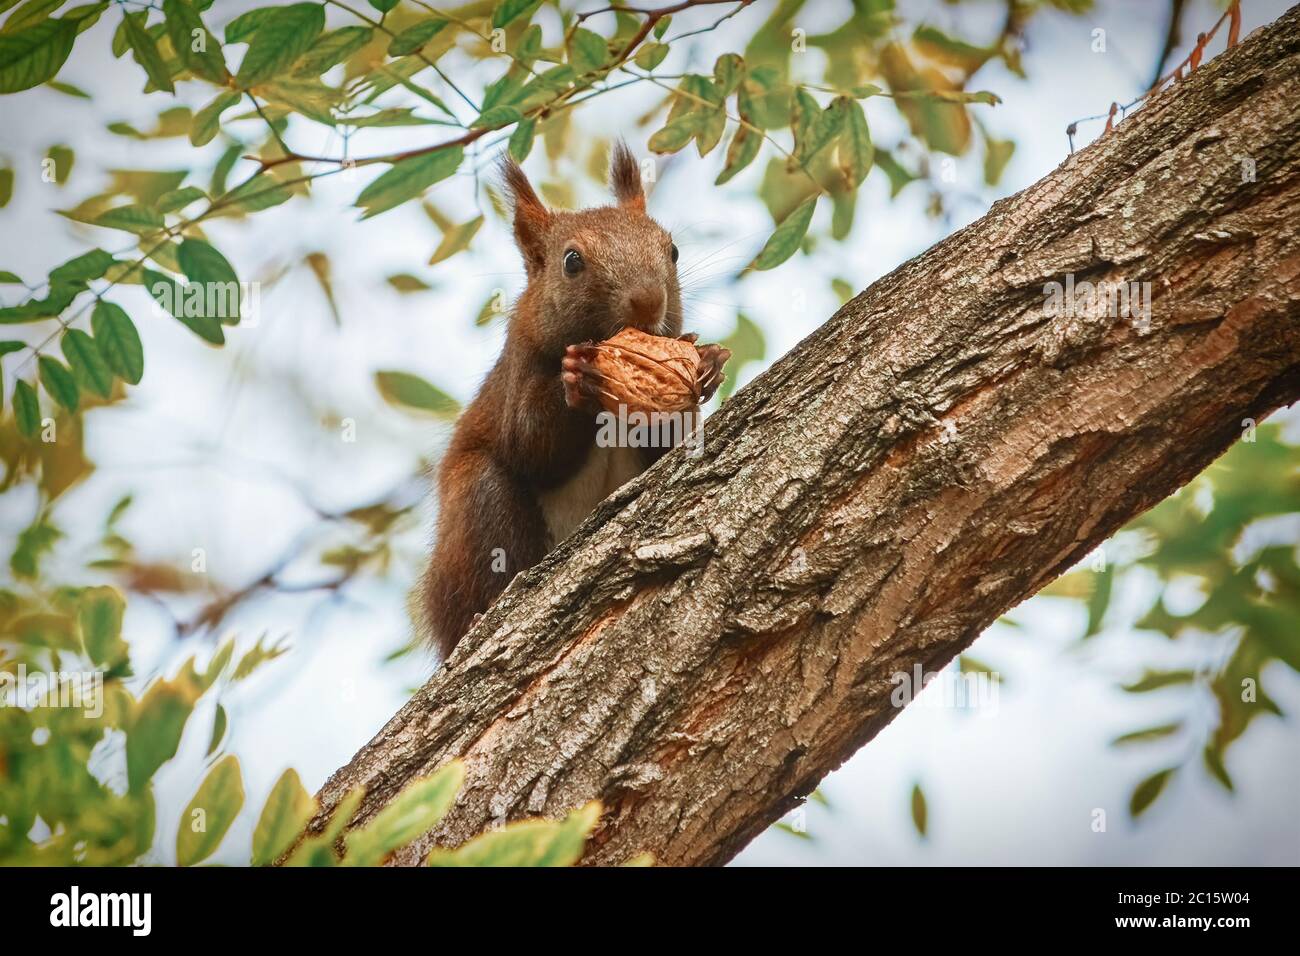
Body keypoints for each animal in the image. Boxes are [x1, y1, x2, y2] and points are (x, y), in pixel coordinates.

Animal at [416, 142, 730, 661]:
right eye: (571, 262)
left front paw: (708, 360)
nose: (648, 301)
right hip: (475, 511)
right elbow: (530, 447)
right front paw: (577, 381)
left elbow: (670, 448)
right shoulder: (519, 373)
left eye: (673, 250)